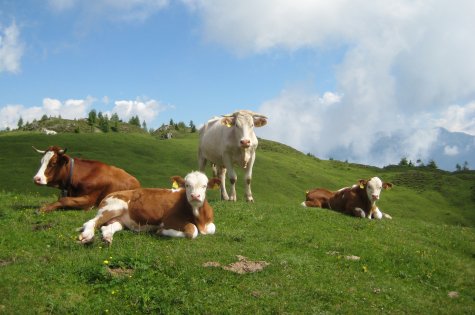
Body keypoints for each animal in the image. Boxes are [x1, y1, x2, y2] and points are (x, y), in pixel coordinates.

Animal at [78, 172, 221, 243]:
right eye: (186, 185)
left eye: (205, 185)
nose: (195, 196)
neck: (200, 218)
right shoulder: (170, 220)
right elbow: (192, 230)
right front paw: (161, 231)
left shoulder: (209, 223)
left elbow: (212, 228)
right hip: (113, 207)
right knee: (90, 222)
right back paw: (87, 236)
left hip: (119, 220)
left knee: (107, 227)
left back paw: (107, 239)